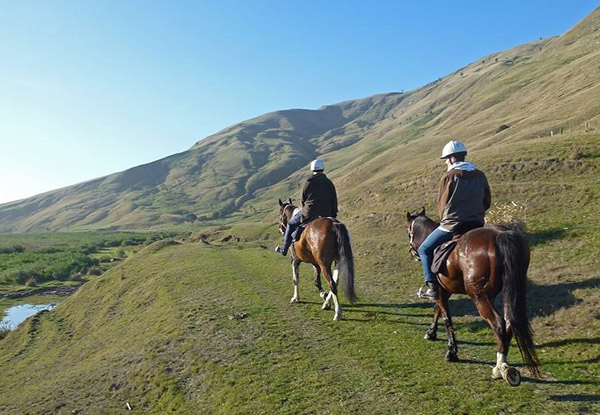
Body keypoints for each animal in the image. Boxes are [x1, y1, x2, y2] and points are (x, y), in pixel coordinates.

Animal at [406, 208, 540, 386]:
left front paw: (452, 351)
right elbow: (438, 310)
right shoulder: (444, 291)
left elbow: (446, 317)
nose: (413, 252)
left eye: (409, 231)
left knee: (498, 324)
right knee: (509, 323)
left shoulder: (440, 290)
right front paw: (431, 333)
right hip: (510, 290)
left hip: (479, 296)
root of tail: (501, 235)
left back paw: (500, 368)